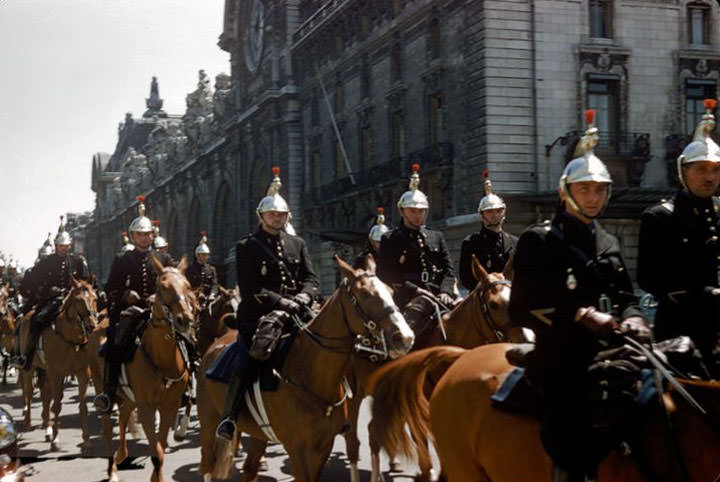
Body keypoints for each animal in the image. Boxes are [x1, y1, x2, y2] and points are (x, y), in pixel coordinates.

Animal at [17, 276, 98, 450]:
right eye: (78, 300)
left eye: (95, 298)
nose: (91, 325)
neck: (70, 339)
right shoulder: (56, 373)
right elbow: (57, 406)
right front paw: (56, 440)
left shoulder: (82, 373)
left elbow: (82, 406)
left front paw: (87, 440)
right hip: (30, 368)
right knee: (29, 392)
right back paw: (28, 422)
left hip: (46, 372)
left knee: (45, 396)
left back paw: (47, 428)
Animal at [101, 258, 197, 482]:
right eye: (162, 287)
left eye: (187, 285)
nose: (184, 320)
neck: (162, 359)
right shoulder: (146, 407)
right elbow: (157, 453)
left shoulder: (169, 406)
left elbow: (159, 448)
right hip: (112, 395)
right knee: (109, 427)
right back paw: (113, 470)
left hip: (129, 398)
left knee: (123, 417)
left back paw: (122, 456)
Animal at [195, 254, 416, 480]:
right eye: (364, 294)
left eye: (391, 291)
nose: (406, 337)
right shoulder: (298, 450)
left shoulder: (323, 447)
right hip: (209, 424)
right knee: (207, 466)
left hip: (259, 432)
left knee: (249, 468)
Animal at [344, 254, 520, 480]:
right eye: (494, 304)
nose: (524, 339)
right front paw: (428, 470)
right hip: (355, 395)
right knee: (355, 437)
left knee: (374, 430)